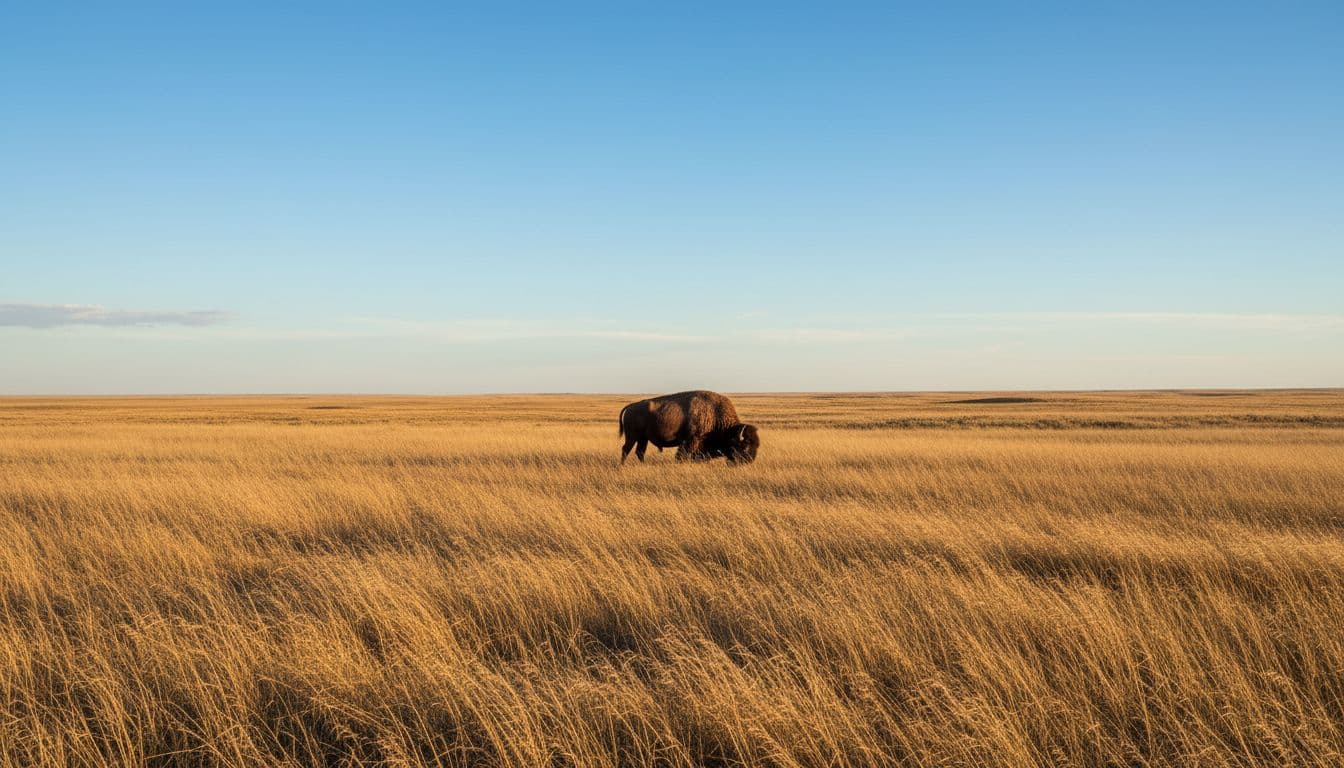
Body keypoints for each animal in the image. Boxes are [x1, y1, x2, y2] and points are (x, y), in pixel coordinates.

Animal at [618, 390, 760, 464]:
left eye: (756, 445)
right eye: (744, 446)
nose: (750, 460)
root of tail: (631, 406)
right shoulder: (691, 440)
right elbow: (682, 455)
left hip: (643, 438)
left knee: (640, 452)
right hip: (632, 436)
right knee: (626, 449)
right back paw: (622, 465)